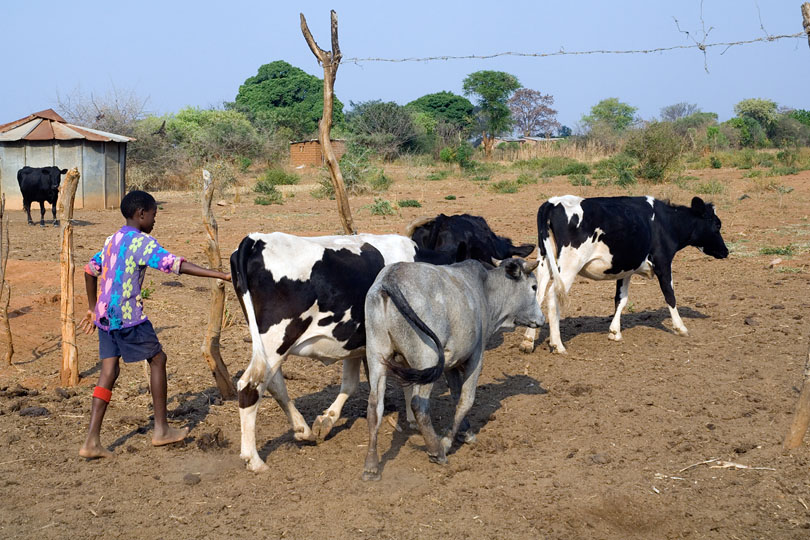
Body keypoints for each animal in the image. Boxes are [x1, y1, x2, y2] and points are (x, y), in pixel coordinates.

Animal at [227, 232, 468, 472]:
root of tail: (256, 239)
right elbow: (408, 379)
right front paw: (411, 419)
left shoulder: (355, 345)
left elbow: (352, 383)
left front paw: (327, 420)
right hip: (278, 340)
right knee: (250, 386)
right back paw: (254, 459)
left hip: (270, 347)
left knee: (274, 383)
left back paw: (302, 429)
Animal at [362, 258, 544, 480]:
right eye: (534, 287)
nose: (542, 319)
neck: (485, 290)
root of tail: (391, 278)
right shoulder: (476, 357)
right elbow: (466, 399)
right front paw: (448, 441)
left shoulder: (451, 363)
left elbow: (457, 395)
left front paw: (466, 432)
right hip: (427, 360)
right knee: (418, 405)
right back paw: (436, 451)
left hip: (376, 357)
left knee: (374, 407)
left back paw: (371, 466)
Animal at [520, 194, 728, 354]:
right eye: (717, 225)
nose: (726, 251)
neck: (666, 223)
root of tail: (553, 202)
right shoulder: (663, 262)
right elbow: (670, 295)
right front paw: (681, 328)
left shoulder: (626, 268)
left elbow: (621, 299)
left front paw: (614, 332)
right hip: (569, 265)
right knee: (552, 297)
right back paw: (558, 345)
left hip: (544, 260)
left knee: (538, 294)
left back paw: (527, 342)